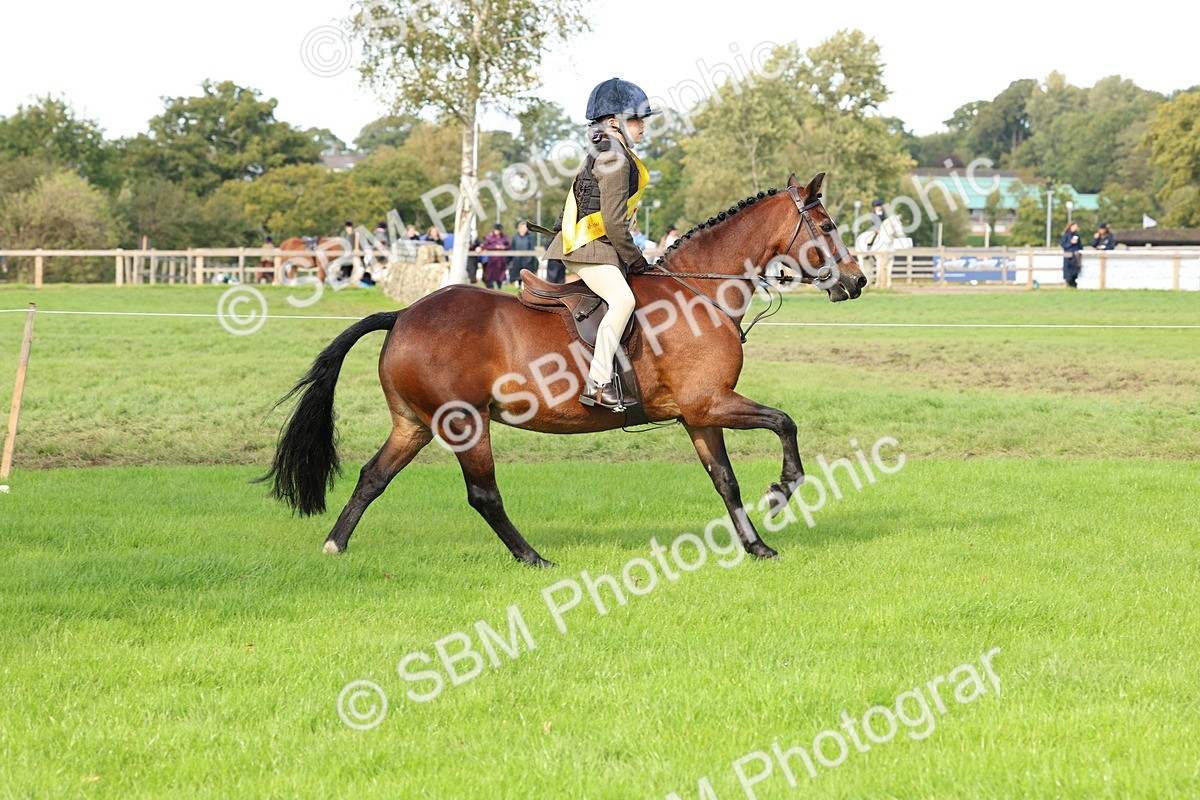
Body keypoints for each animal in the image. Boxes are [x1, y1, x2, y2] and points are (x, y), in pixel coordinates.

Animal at [258, 172, 866, 566]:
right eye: (828, 224)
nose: (857, 282)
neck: (701, 292)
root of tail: (404, 313)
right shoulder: (710, 402)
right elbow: (784, 422)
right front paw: (783, 489)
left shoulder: (698, 414)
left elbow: (726, 481)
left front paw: (756, 545)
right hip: (465, 423)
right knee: (484, 496)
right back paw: (532, 558)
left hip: (414, 424)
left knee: (373, 477)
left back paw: (335, 544)